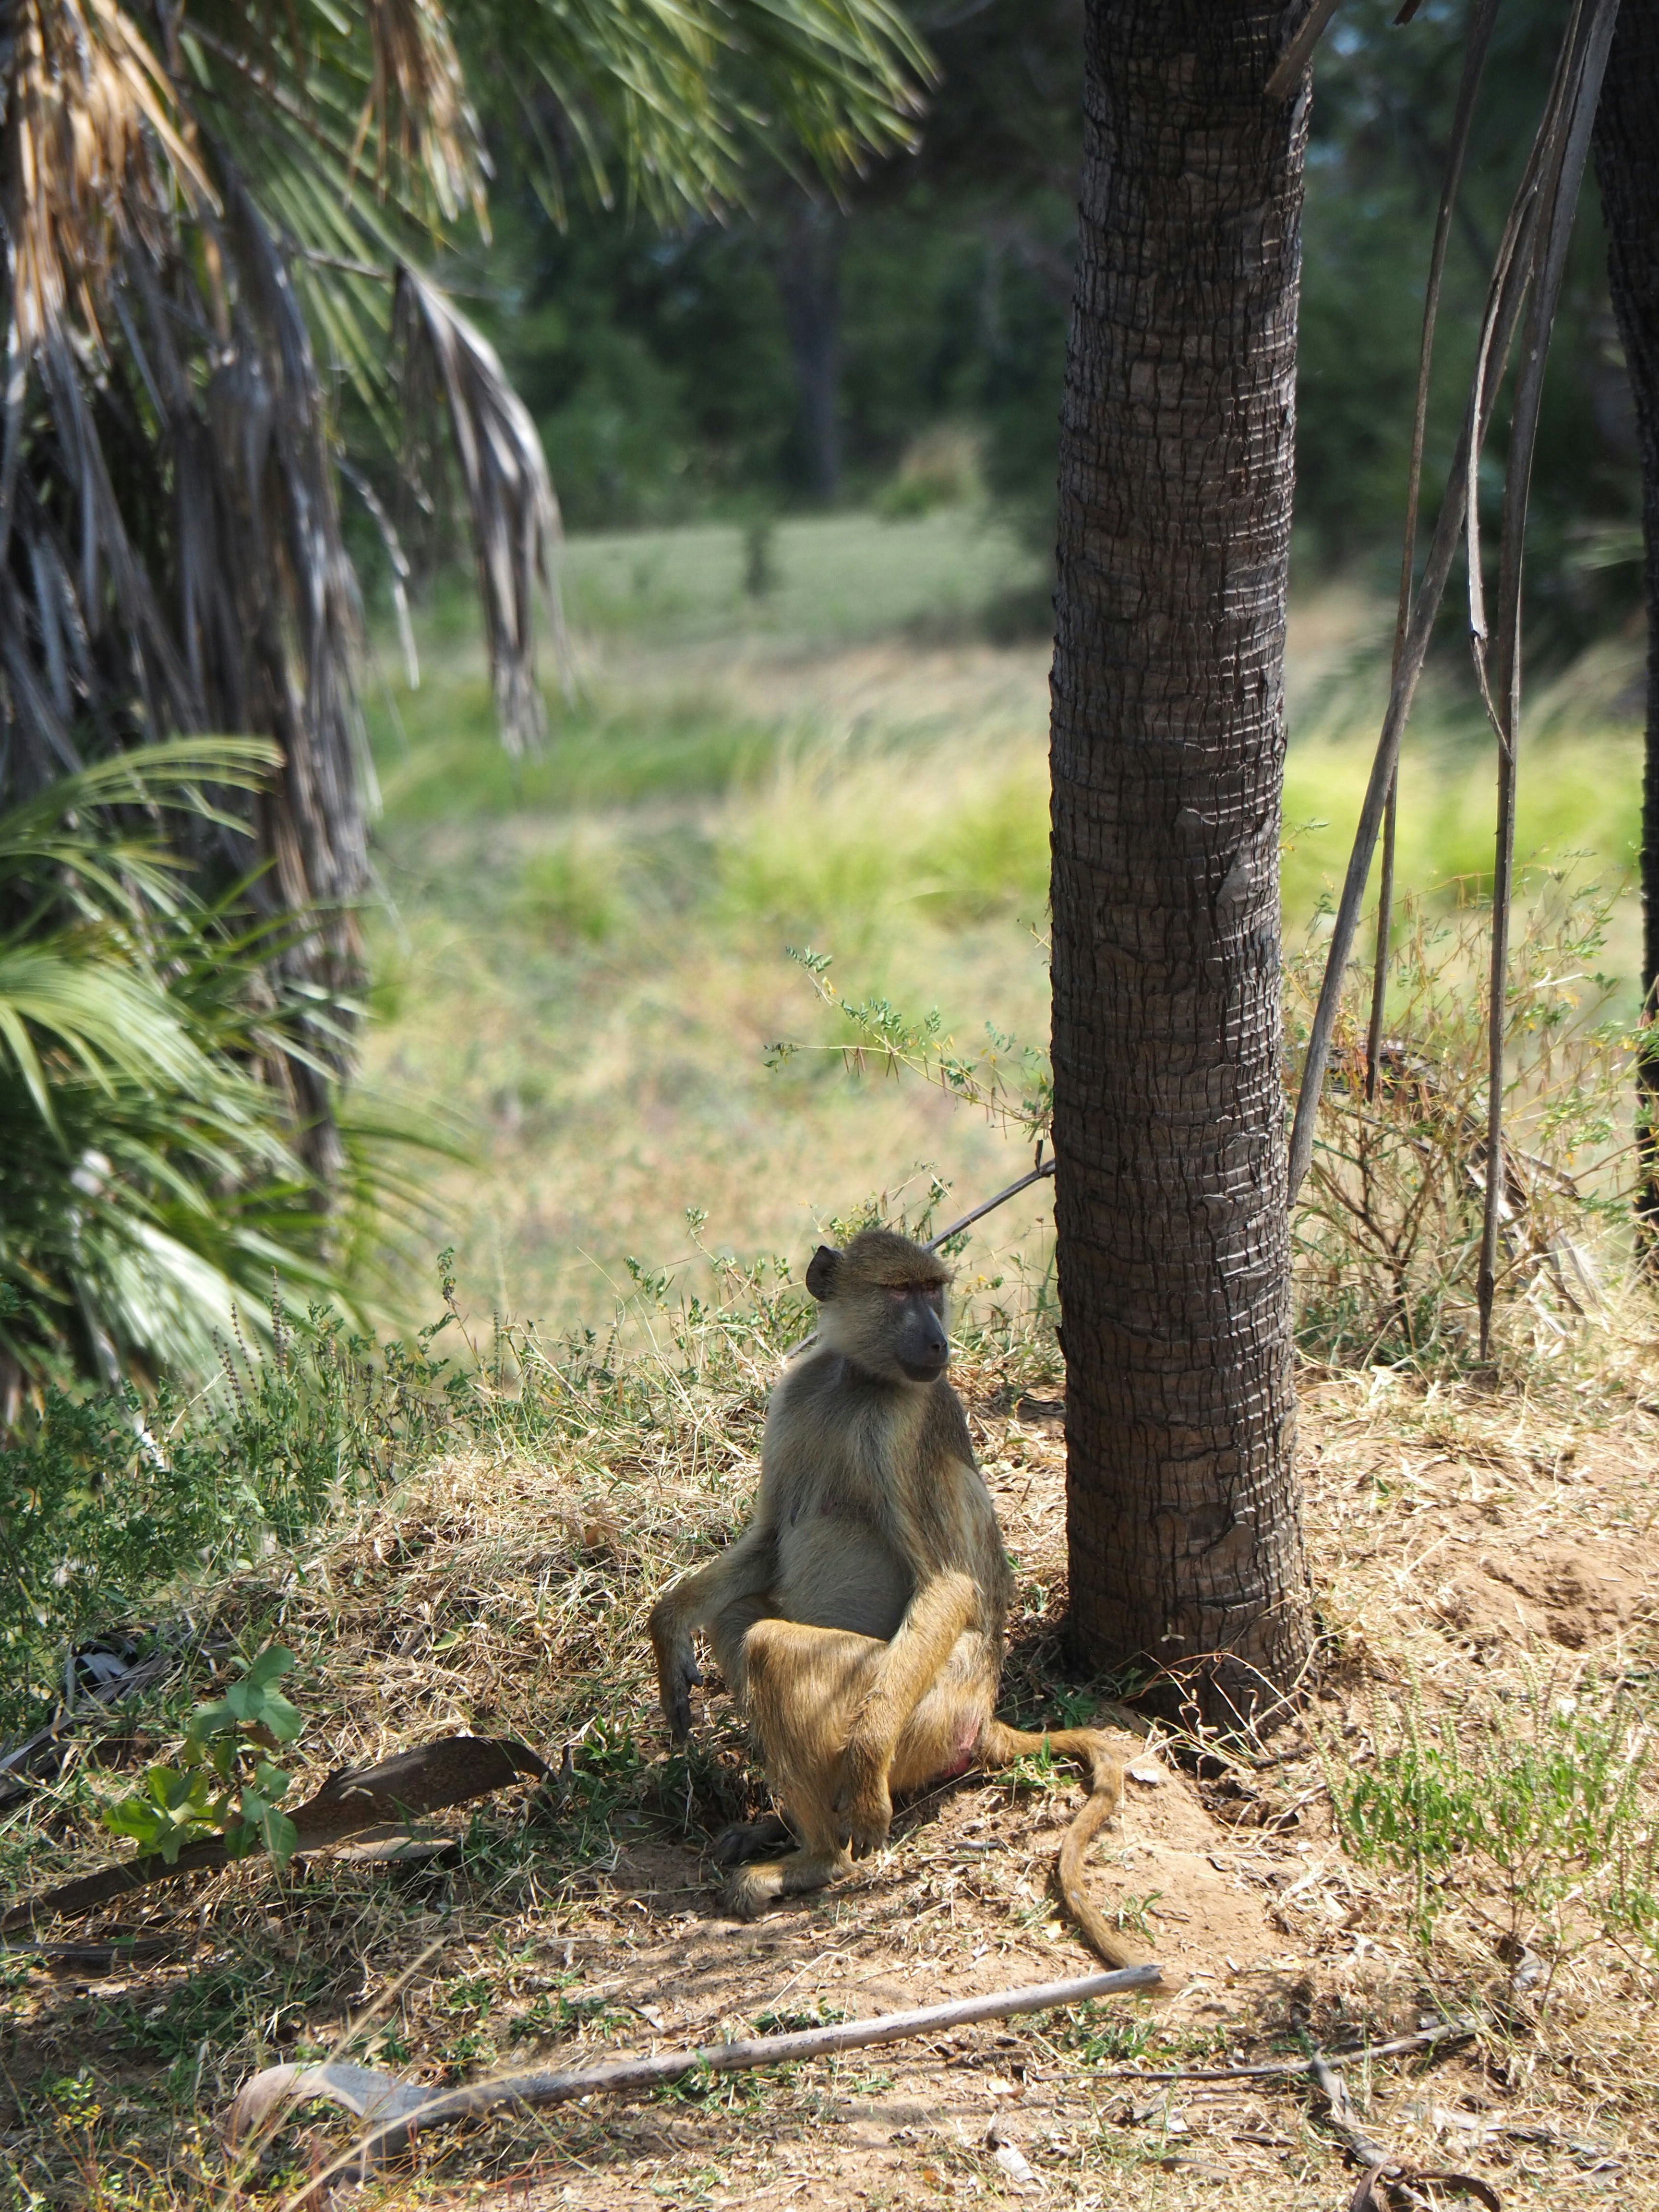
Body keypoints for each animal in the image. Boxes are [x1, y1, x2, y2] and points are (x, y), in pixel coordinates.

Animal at [648, 1226, 1158, 1976]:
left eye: (932, 1290)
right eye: (900, 1292)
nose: (940, 1343)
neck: (858, 1380)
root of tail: (985, 1716)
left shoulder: (907, 1427)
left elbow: (948, 1585)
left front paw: (859, 1788)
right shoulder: (795, 1395)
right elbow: (768, 1543)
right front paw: (668, 1633)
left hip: (925, 1717)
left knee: (770, 1647)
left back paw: (818, 1859)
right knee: (740, 1618)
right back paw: (784, 1827)